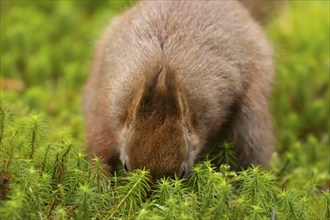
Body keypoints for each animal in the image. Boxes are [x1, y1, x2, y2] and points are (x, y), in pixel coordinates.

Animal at [84, 0, 274, 180]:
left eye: (182, 173)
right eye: (125, 166)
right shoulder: (106, 109)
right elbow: (98, 148)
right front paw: (101, 182)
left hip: (252, 111)